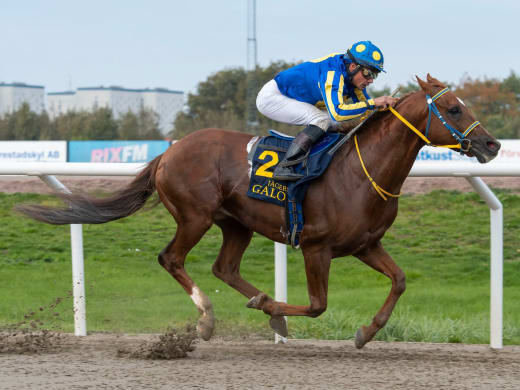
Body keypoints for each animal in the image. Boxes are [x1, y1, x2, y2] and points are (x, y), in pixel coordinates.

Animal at [18, 74, 502, 348]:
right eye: (454, 107)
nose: (493, 144)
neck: (361, 172)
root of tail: (170, 151)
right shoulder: (316, 248)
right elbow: (318, 306)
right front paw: (276, 309)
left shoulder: (366, 245)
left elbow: (399, 281)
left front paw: (365, 333)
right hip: (195, 215)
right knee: (171, 258)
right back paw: (208, 319)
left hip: (237, 224)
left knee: (225, 268)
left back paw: (263, 306)